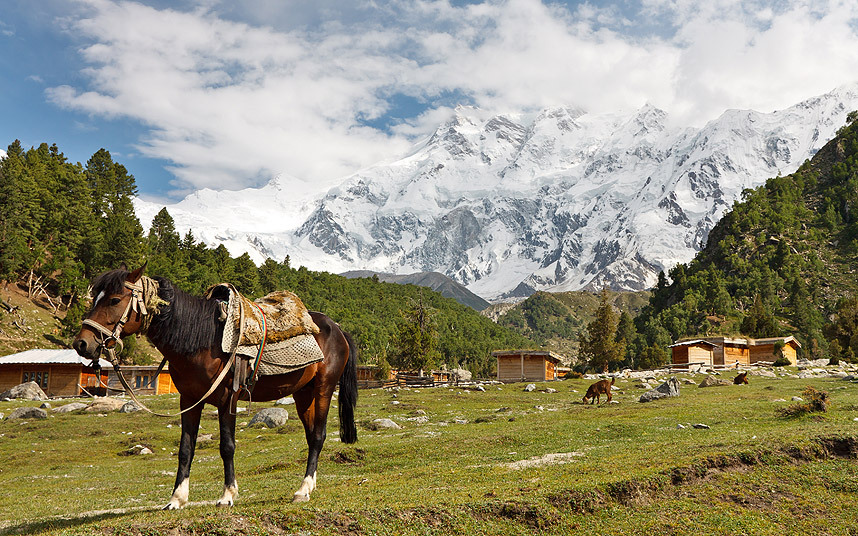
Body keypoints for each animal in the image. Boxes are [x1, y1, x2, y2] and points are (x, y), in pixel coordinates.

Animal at [72, 266, 356, 508]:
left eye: (114, 300)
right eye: (95, 299)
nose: (82, 344)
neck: (202, 339)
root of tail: (337, 328)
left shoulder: (227, 398)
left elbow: (227, 446)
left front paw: (227, 496)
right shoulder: (188, 401)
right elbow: (186, 449)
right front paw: (176, 499)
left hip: (323, 389)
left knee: (318, 436)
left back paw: (302, 490)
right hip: (302, 394)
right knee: (311, 436)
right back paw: (308, 487)